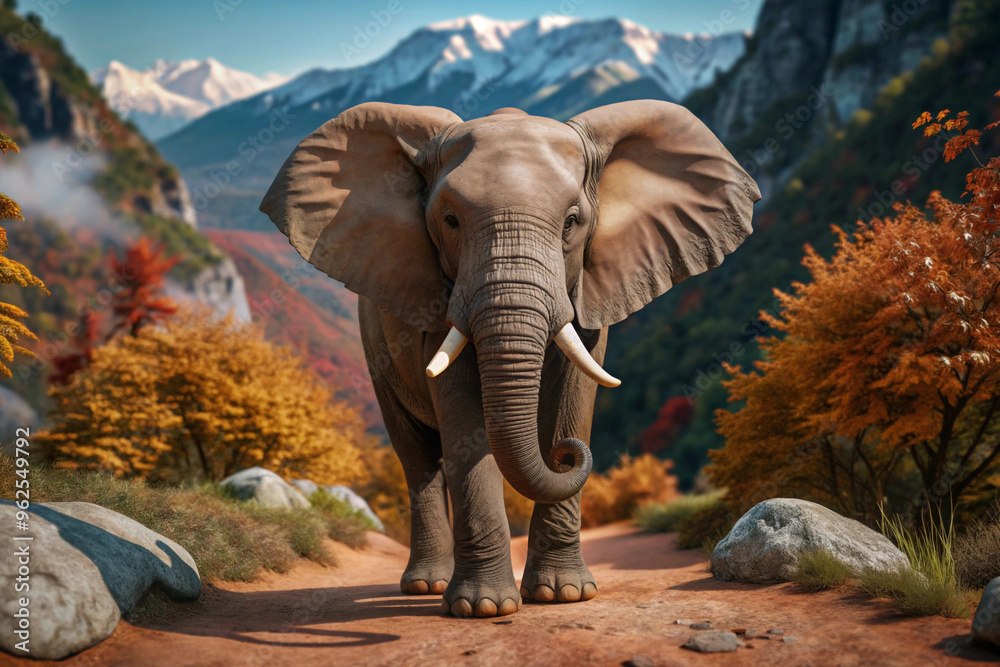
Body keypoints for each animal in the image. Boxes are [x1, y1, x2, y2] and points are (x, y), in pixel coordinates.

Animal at [260, 100, 759, 618]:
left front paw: (563, 595)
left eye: (572, 221)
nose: (566, 456)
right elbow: (462, 417)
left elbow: (574, 396)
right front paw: (483, 608)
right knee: (417, 456)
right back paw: (425, 586)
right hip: (373, 345)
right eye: (450, 221)